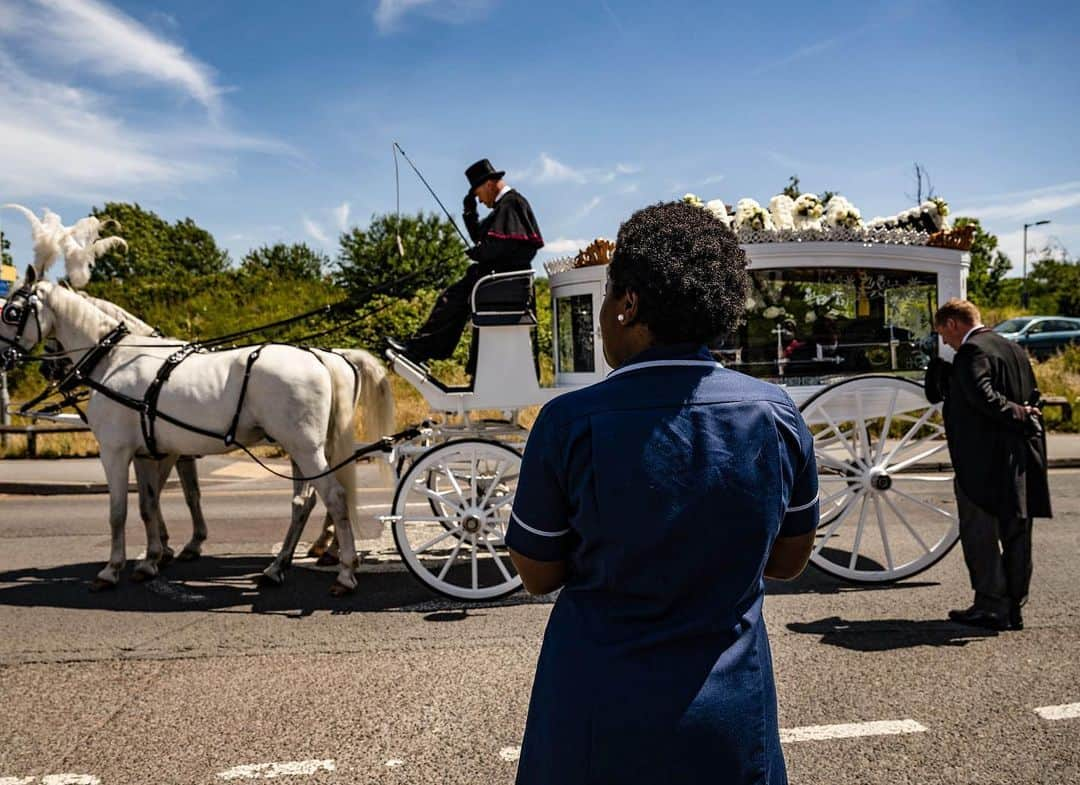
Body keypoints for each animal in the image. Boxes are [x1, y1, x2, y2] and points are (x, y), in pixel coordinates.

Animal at [2, 269, 369, 596]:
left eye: (12, 312)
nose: (41, 367)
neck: (113, 358)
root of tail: (321, 358)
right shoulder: (149, 453)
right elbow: (149, 504)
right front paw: (152, 558)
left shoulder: (116, 452)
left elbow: (119, 512)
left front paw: (112, 569)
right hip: (302, 450)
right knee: (304, 503)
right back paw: (280, 566)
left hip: (306, 449)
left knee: (335, 497)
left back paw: (345, 571)